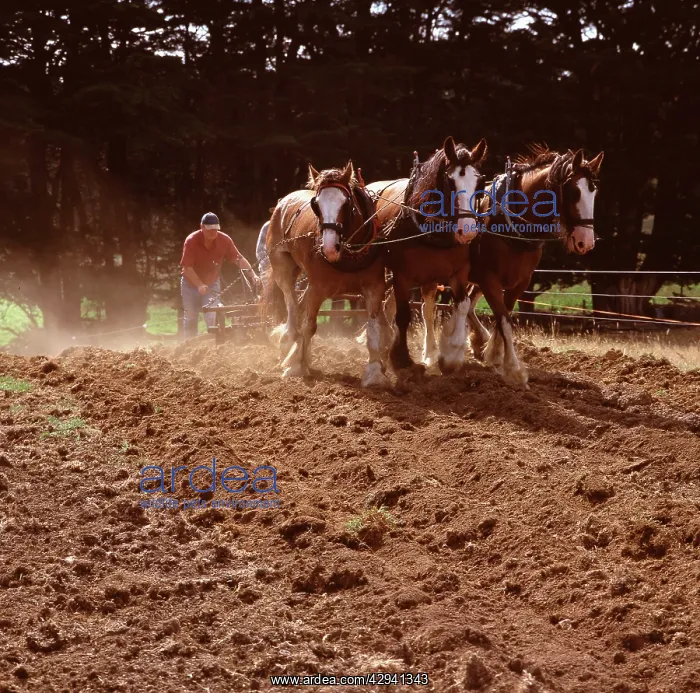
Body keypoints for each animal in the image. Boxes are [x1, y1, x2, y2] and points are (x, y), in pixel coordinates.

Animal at [265, 161, 392, 387]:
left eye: (346, 202)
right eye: (316, 204)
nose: (330, 248)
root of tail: (283, 202)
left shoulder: (375, 288)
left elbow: (373, 330)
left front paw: (375, 373)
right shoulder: (317, 289)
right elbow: (309, 326)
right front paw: (298, 367)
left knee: (298, 306)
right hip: (282, 267)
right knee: (291, 304)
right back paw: (288, 342)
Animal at [366, 136, 488, 374]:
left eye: (479, 184)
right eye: (450, 182)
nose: (468, 230)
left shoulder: (459, 273)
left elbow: (462, 305)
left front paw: (451, 357)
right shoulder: (402, 275)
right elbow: (403, 315)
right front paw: (401, 359)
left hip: (428, 277)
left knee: (426, 309)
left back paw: (429, 352)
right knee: (383, 305)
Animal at [421, 146, 604, 388]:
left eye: (594, 192)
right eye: (574, 192)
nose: (587, 242)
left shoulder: (519, 282)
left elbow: (503, 317)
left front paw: (494, 353)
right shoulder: (490, 279)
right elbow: (504, 321)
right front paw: (513, 370)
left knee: (467, 305)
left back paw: (478, 342)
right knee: (429, 309)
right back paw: (432, 355)